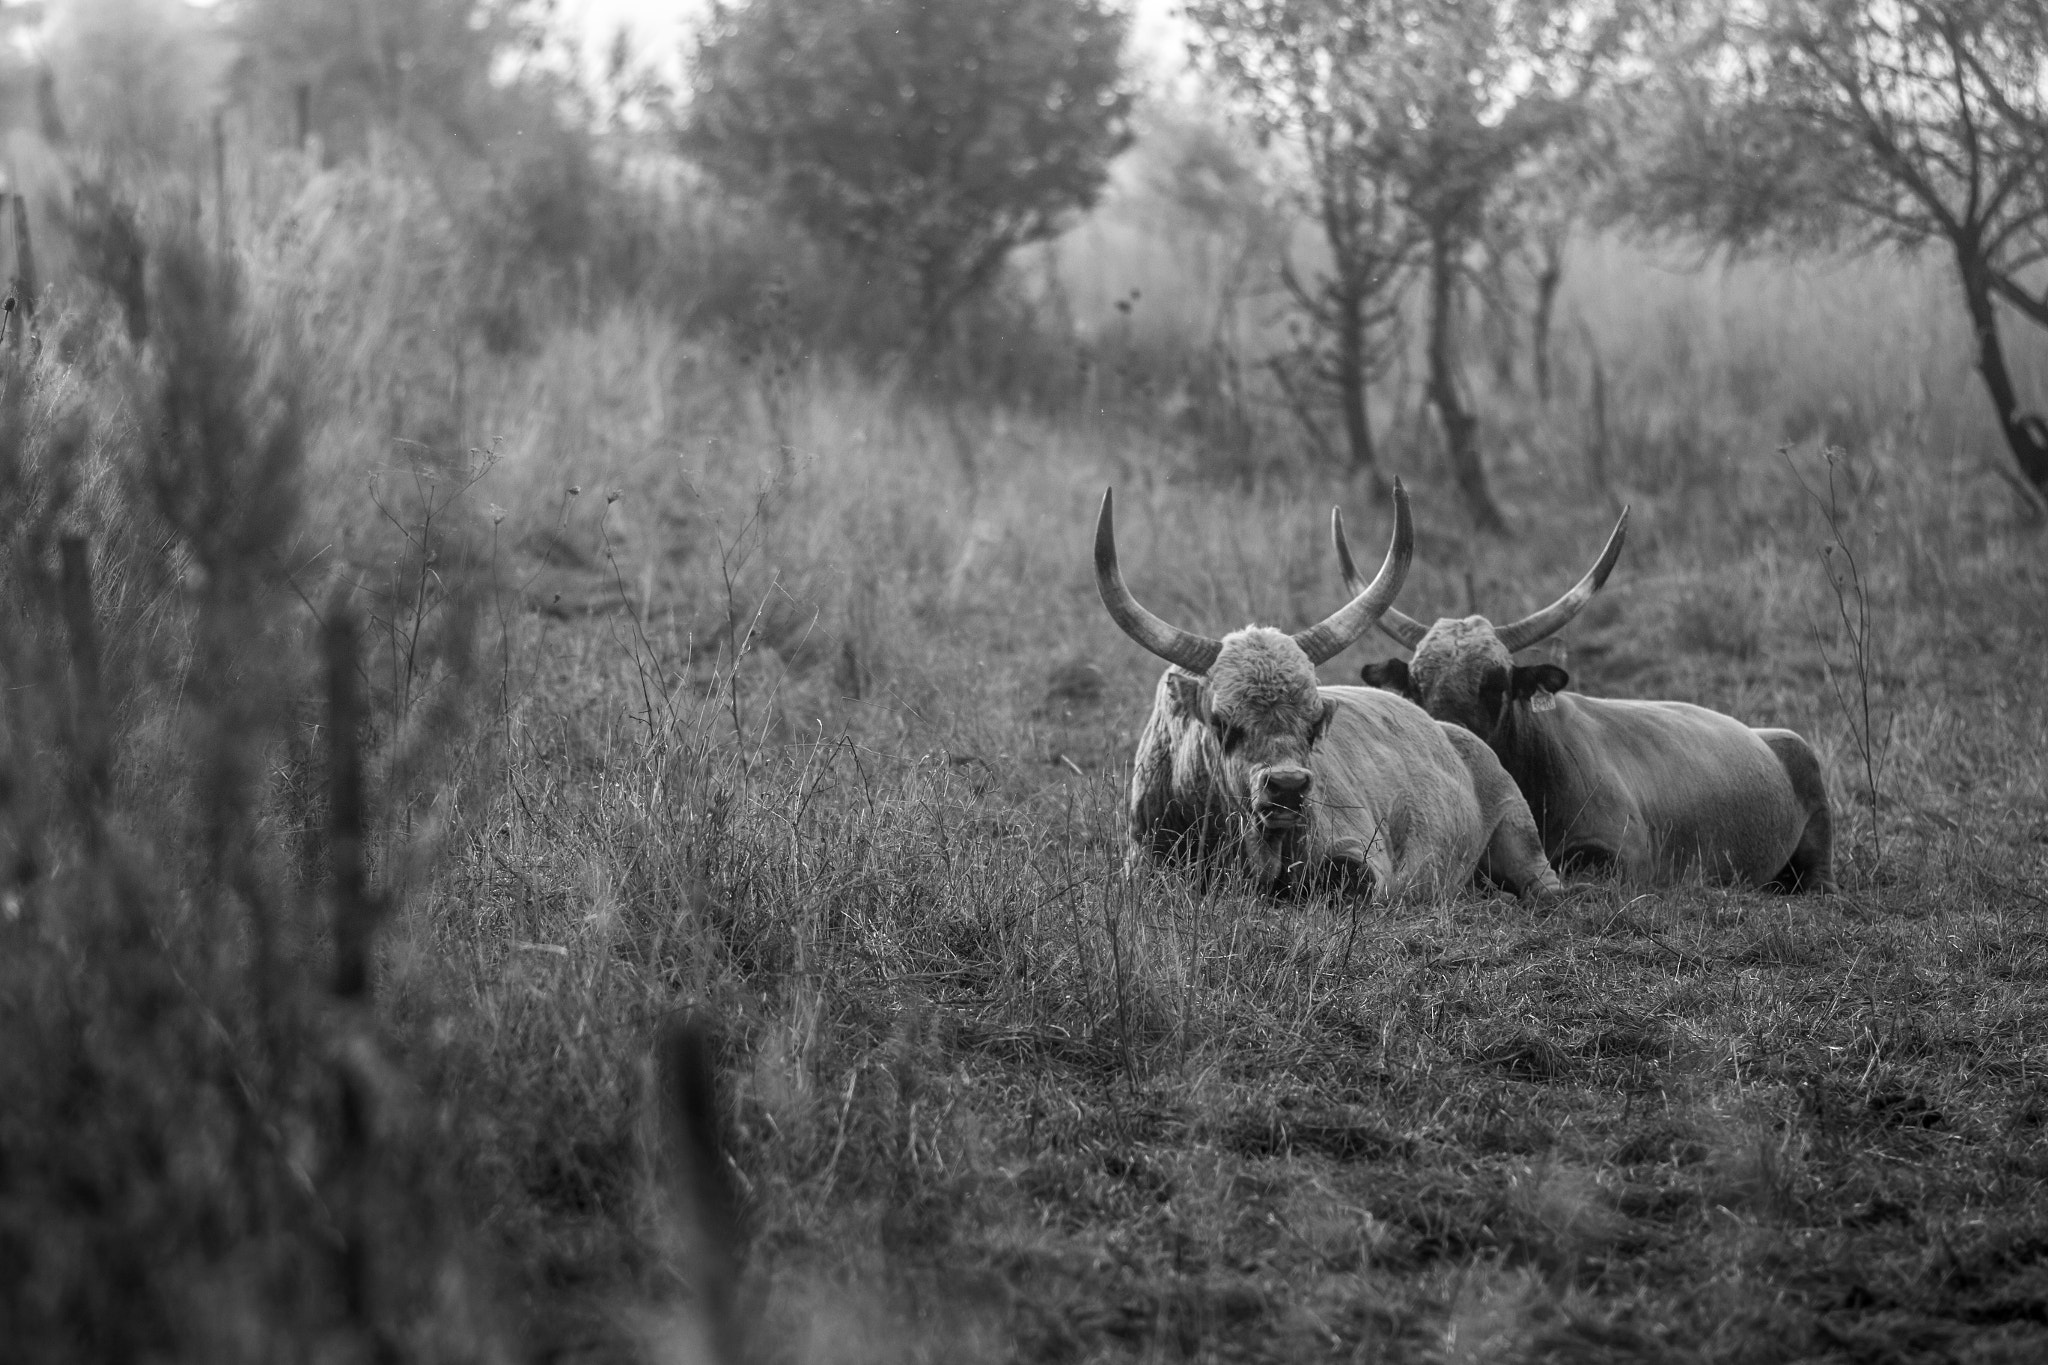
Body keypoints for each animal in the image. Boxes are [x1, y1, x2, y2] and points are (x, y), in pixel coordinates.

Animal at [1105, 482, 1548, 908]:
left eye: (1314, 721)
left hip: (1522, 835)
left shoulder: (1364, 854)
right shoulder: (1139, 857)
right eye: (1222, 722)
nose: (1286, 786)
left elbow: (1343, 878)